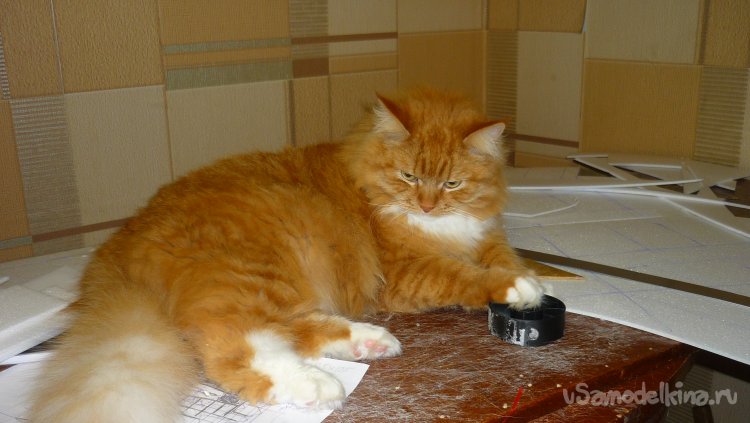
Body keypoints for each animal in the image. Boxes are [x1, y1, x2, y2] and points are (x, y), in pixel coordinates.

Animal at [30, 88, 543, 422]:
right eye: (409, 177)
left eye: (451, 183)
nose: (428, 205)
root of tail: (120, 241)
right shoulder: (407, 271)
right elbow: (467, 275)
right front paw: (520, 288)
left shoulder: (487, 235)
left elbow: (503, 255)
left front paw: (528, 281)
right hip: (252, 273)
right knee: (236, 348)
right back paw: (317, 383)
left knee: (296, 329)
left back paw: (368, 342)